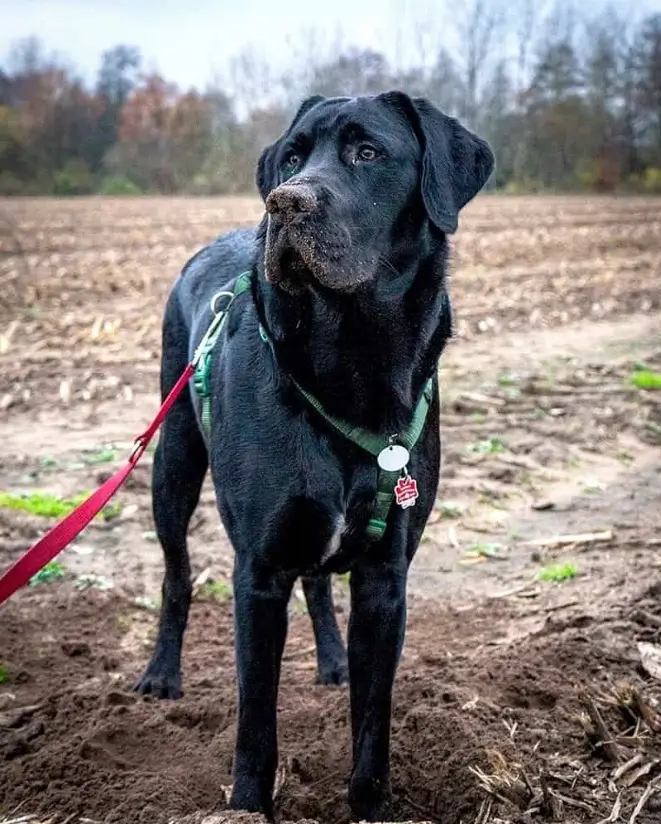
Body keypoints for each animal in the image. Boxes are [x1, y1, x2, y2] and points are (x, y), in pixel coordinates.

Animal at [135, 93, 490, 820]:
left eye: (368, 152)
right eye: (293, 155)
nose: (284, 202)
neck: (352, 355)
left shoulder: (386, 579)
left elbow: (372, 723)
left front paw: (370, 803)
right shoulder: (259, 571)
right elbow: (255, 724)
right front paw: (246, 806)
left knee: (321, 582)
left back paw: (331, 661)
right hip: (172, 462)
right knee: (177, 574)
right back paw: (161, 673)